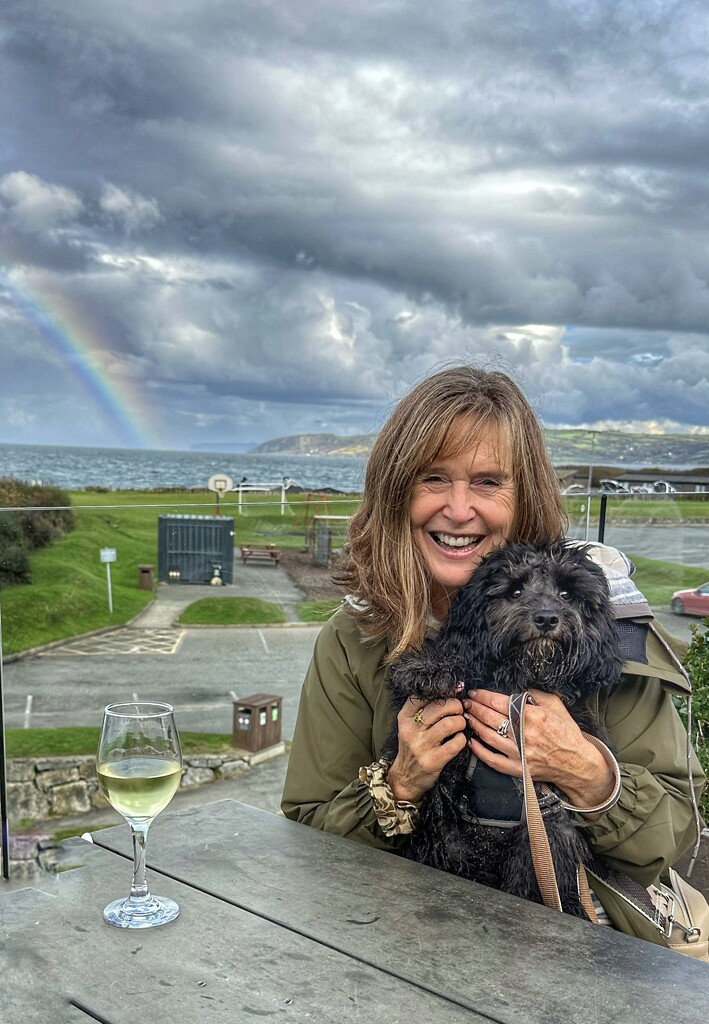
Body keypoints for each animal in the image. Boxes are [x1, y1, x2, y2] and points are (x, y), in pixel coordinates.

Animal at [385, 540, 622, 917]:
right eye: (515, 590)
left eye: (567, 593)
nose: (546, 618)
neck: (516, 683)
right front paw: (429, 668)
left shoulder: (548, 828)